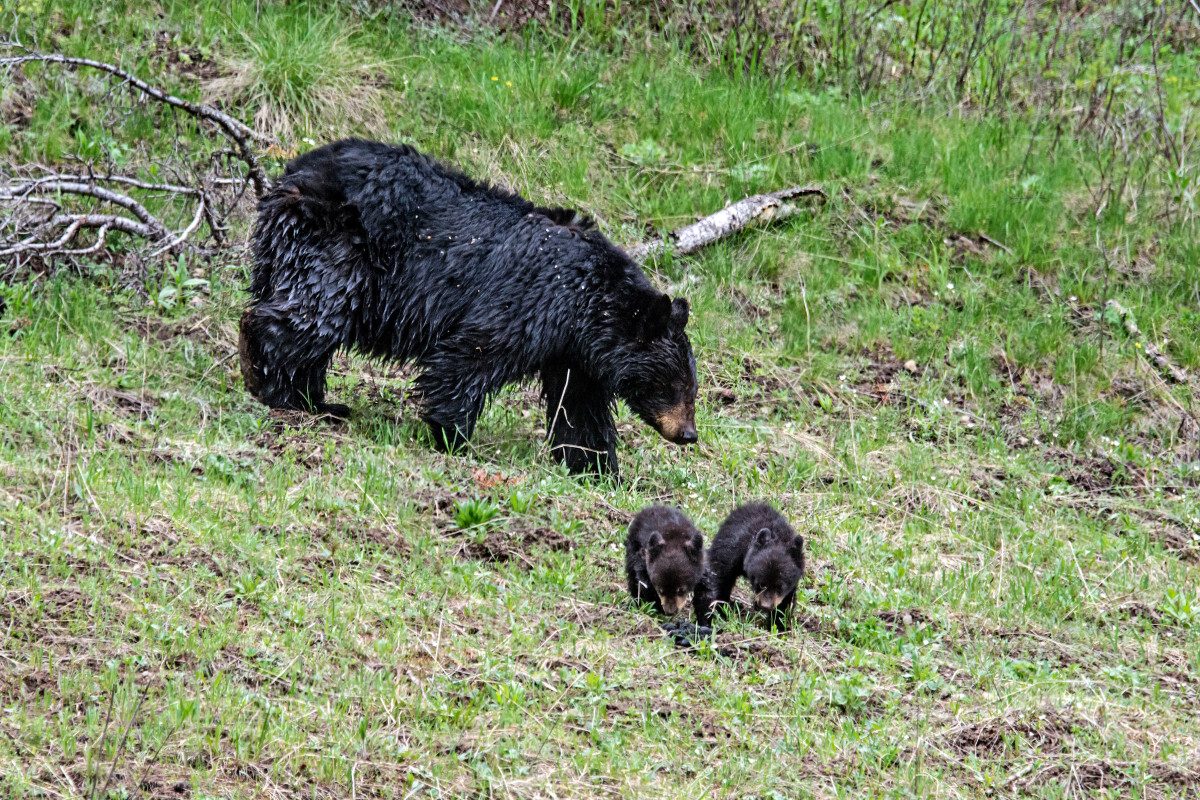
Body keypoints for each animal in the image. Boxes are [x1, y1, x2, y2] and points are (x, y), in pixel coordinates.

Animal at [240, 138, 700, 479]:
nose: (688, 434)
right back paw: (272, 383)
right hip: (338, 245)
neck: (587, 302)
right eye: (673, 385)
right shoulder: (532, 300)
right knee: (312, 312)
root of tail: (289, 174)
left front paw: (599, 469)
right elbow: (472, 355)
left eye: (691, 388)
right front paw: (452, 437)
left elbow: (580, 409)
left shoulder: (572, 353)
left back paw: (317, 402)